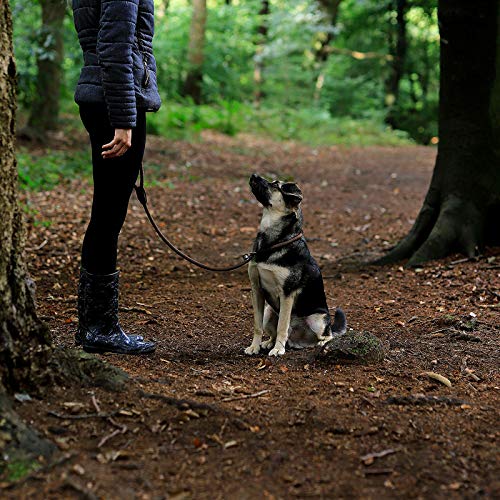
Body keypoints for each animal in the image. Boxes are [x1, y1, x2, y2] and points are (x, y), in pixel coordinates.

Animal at [244, 174, 346, 358]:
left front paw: (278, 349)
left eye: (275, 185)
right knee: (274, 331)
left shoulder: (287, 293)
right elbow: (257, 325)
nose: (253, 175)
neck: (272, 242)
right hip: (269, 312)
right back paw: (268, 343)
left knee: (327, 334)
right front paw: (254, 347)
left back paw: (321, 343)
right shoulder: (256, 289)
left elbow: (282, 326)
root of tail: (299, 341)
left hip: (317, 318)